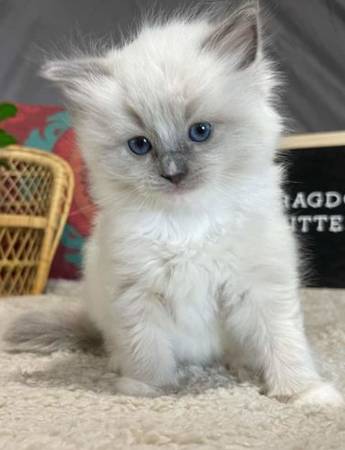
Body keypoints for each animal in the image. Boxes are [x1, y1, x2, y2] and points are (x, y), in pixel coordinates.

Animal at [4, 0, 342, 400]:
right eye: (140, 145)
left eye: (200, 132)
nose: (173, 173)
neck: (188, 224)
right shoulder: (137, 293)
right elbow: (147, 351)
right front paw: (147, 391)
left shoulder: (262, 285)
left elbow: (283, 343)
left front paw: (303, 394)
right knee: (114, 344)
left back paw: (243, 368)